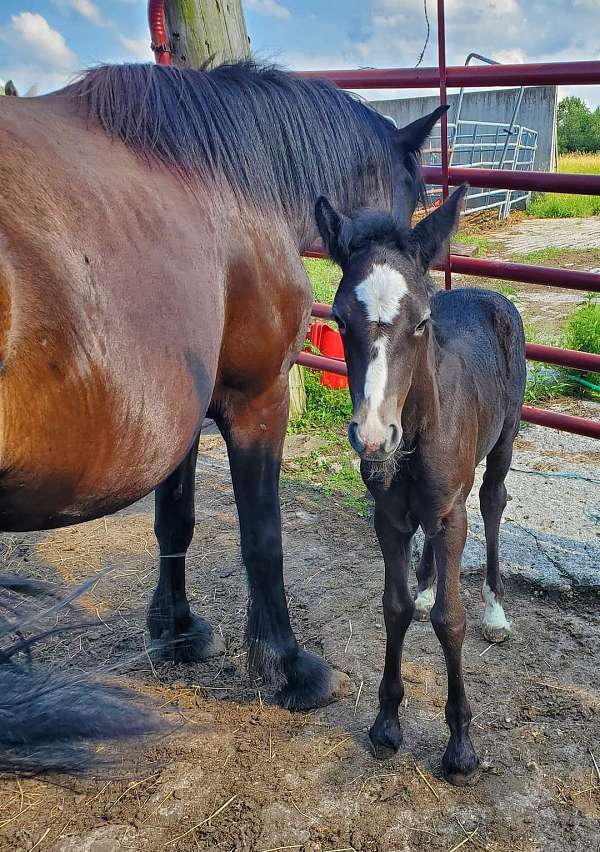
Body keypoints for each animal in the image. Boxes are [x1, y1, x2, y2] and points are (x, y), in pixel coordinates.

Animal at [0, 61, 446, 760]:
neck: (227, 188)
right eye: (415, 194)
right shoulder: (257, 401)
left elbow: (175, 523)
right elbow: (263, 537)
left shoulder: (182, 417)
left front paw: (176, 631)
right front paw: (288, 665)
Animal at [316, 186, 528, 784]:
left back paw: (496, 612)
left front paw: (461, 747)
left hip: (503, 442)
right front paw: (386, 724)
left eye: (421, 321)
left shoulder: (452, 513)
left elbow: (449, 621)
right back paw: (431, 579)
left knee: (494, 502)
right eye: (339, 319)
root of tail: (486, 292)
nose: (372, 437)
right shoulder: (387, 518)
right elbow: (397, 607)